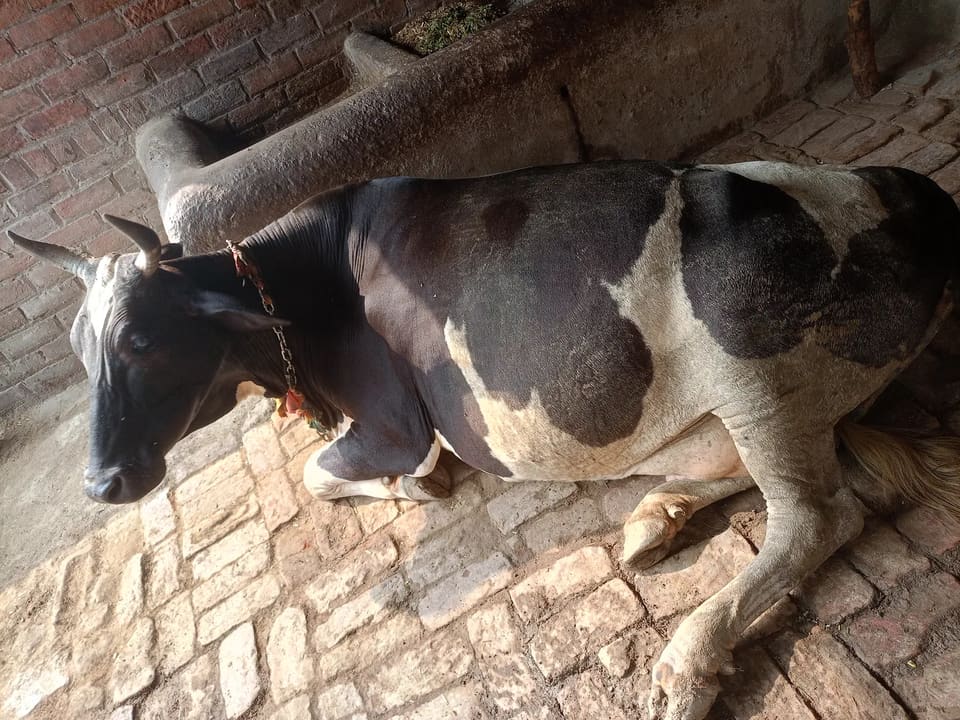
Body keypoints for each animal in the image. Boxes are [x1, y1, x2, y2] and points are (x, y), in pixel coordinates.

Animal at [9, 160, 960, 720]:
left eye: (140, 340)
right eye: (82, 348)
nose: (100, 484)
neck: (303, 282)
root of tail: (913, 190)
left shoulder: (395, 426)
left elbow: (328, 471)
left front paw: (413, 487)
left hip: (751, 367)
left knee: (819, 514)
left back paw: (687, 661)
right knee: (749, 474)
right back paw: (656, 520)